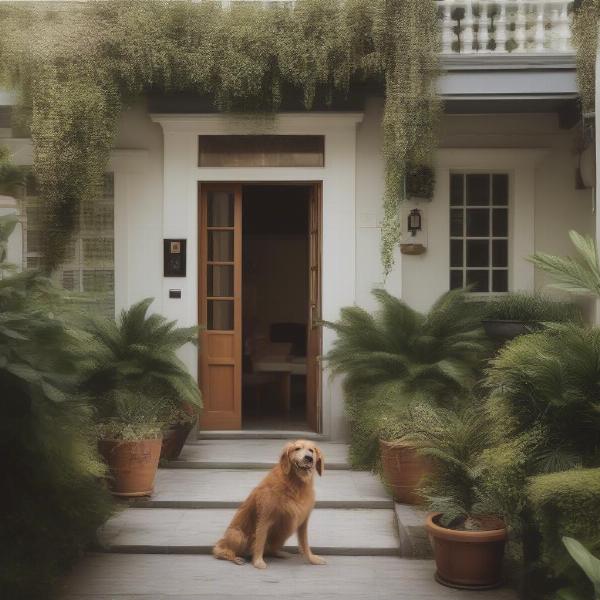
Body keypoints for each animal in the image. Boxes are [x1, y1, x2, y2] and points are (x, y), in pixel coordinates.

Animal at [214, 438, 328, 568]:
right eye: (297, 449)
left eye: (311, 450)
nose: (309, 458)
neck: (295, 484)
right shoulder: (265, 518)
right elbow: (260, 541)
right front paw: (258, 562)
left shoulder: (303, 521)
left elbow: (305, 544)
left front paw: (313, 559)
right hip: (238, 535)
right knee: (222, 551)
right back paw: (236, 558)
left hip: (282, 533)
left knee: (269, 550)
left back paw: (280, 553)